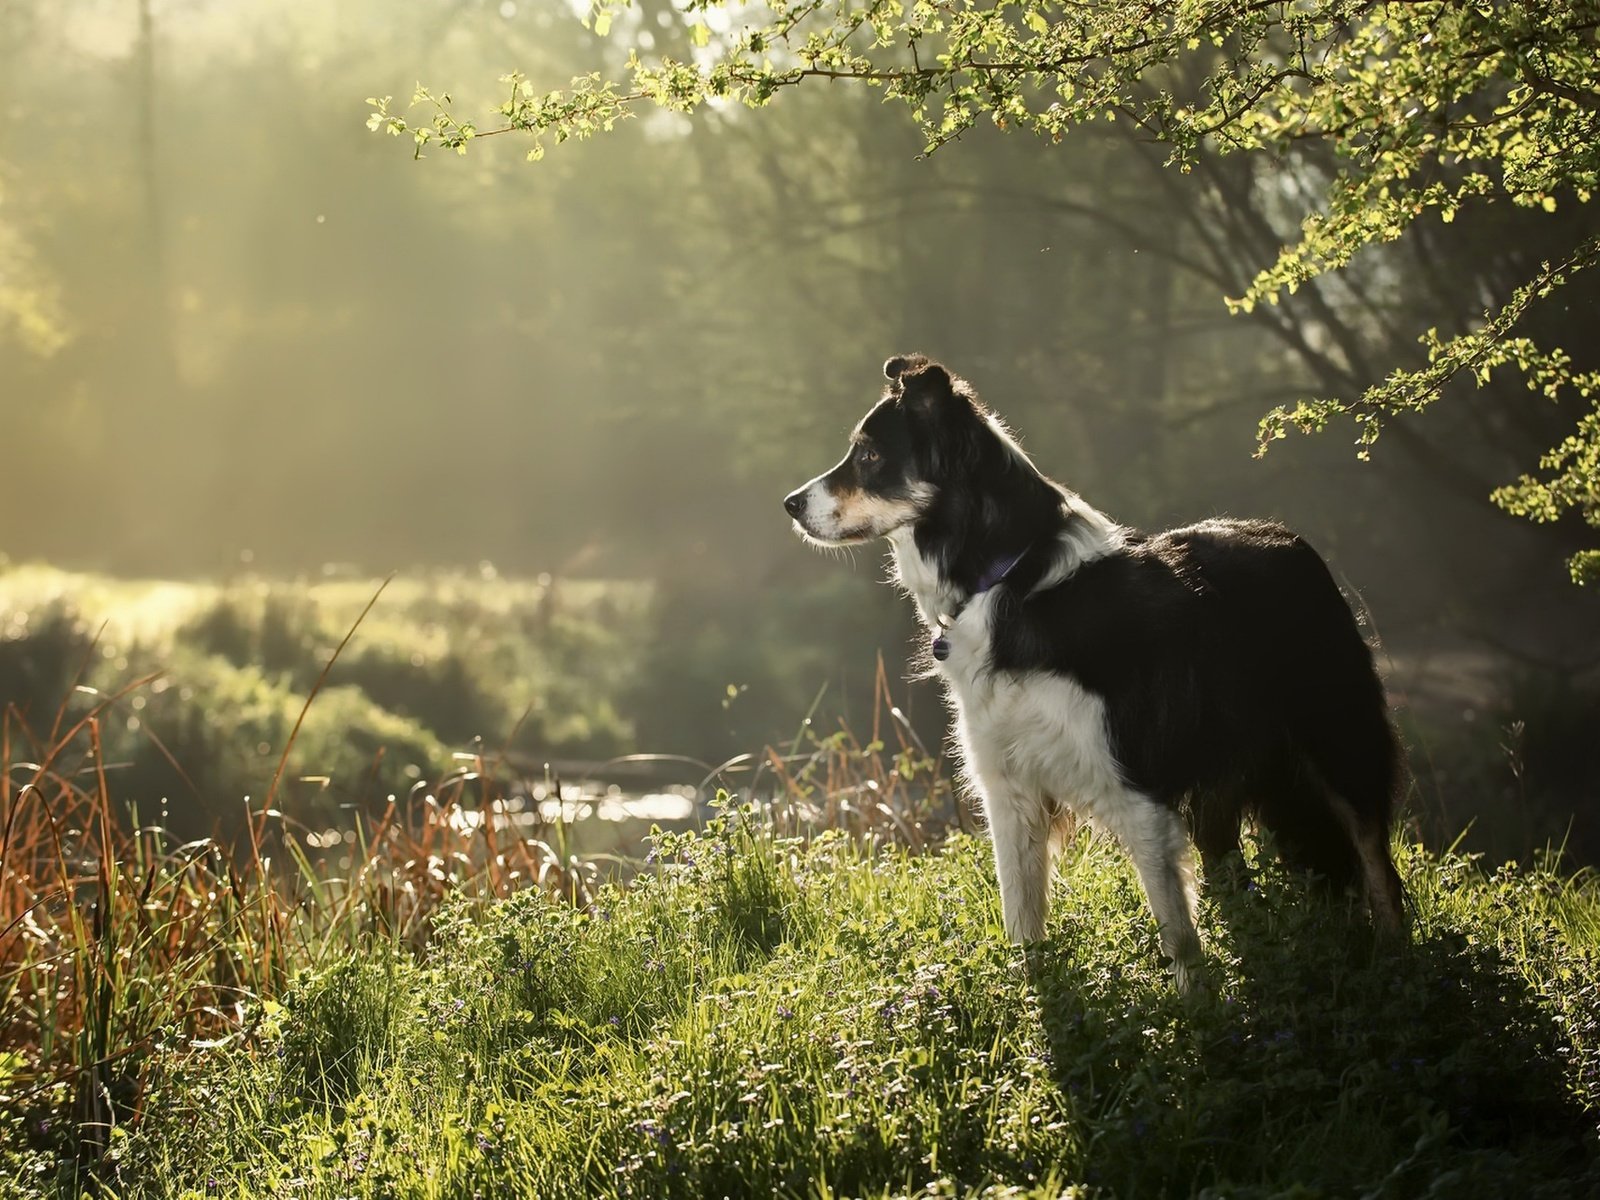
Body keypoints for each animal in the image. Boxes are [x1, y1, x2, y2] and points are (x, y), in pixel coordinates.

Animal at [784, 356, 1401, 998]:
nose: (789, 504)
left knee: (1375, 860)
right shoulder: (1009, 789)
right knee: (1233, 871)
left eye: (869, 456)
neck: (1011, 576)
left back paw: (1394, 959)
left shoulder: (1136, 789)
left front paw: (1198, 1010)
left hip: (1340, 741)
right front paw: (1035, 1003)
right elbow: (1022, 918)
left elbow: (1176, 933)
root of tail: (1292, 540)